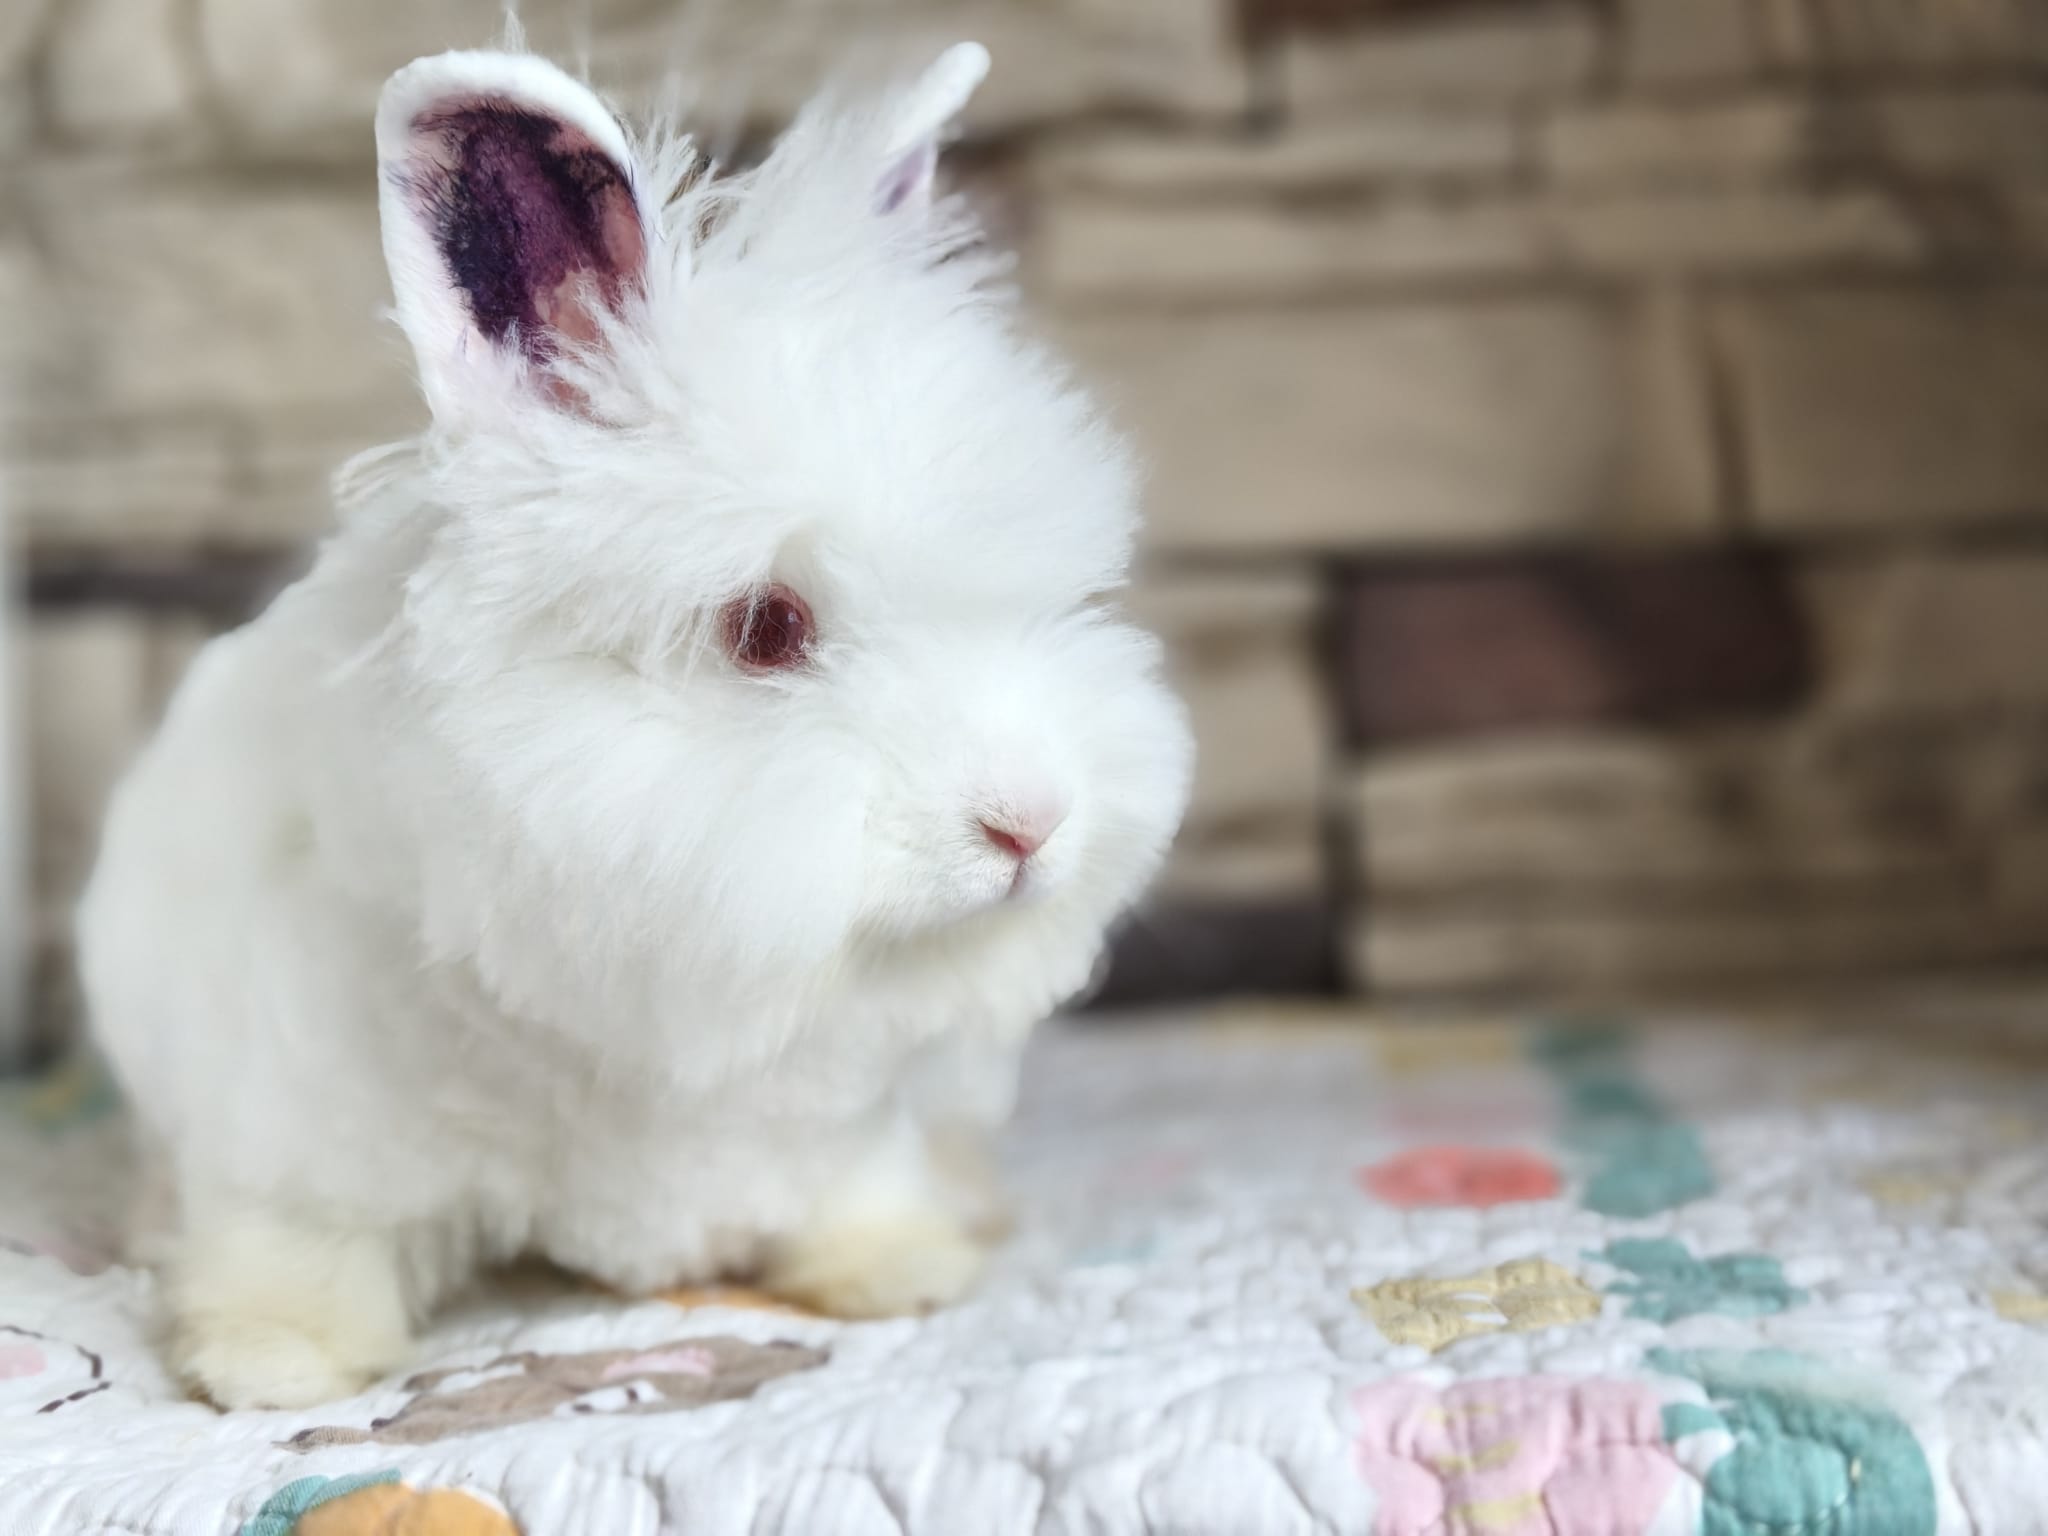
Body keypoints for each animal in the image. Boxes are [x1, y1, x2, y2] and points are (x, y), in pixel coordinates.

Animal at [75, 39, 1192, 1411]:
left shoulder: (843, 1120)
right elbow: (300, 1238)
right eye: (766, 629)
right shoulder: (290, 1128)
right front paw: (274, 1360)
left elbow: (855, 1189)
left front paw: (898, 1269)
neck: (641, 1016)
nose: (1029, 825)